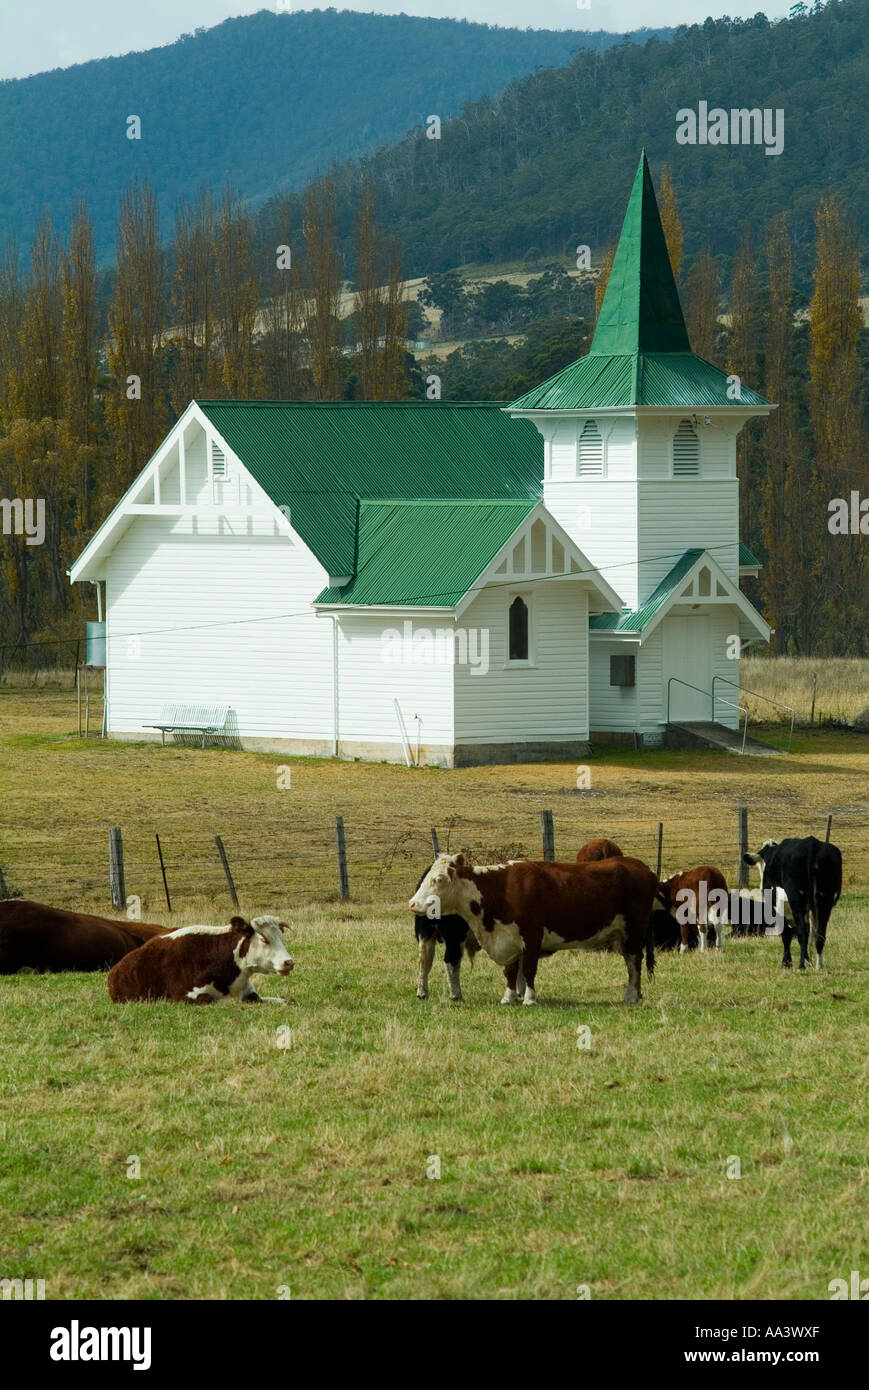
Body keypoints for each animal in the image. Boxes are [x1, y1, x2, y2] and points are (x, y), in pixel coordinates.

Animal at [105, 917, 293, 1006]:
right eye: (264, 939)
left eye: (282, 938)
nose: (289, 962)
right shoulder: (187, 996)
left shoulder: (251, 994)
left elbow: (284, 1001)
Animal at [408, 850, 653, 1006]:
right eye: (429, 878)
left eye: (438, 879)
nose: (413, 903)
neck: (501, 889)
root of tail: (640, 866)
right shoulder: (510, 939)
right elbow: (510, 971)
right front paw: (509, 997)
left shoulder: (532, 937)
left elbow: (528, 970)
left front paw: (529, 998)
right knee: (427, 961)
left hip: (633, 931)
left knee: (633, 963)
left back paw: (632, 995)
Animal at [739, 834, 839, 967]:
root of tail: (811, 844)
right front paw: (808, 960)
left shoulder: (777, 909)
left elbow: (786, 934)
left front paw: (787, 962)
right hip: (824, 903)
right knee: (820, 934)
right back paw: (819, 965)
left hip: (797, 902)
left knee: (802, 932)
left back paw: (802, 965)